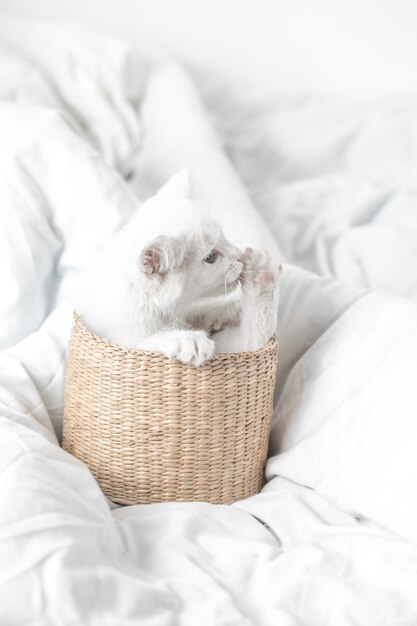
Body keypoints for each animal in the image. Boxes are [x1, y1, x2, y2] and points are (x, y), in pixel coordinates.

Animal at [77, 171, 280, 366]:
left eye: (224, 237)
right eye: (210, 258)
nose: (239, 256)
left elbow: (250, 338)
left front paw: (256, 278)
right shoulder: (122, 342)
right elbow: (149, 342)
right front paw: (188, 339)